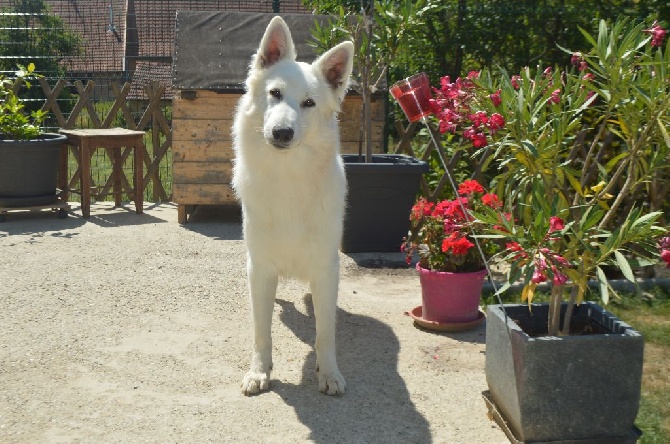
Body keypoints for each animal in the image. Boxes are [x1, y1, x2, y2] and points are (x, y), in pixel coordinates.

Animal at [232, 16, 356, 396]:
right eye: (275, 94)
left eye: (309, 103)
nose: (282, 133)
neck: (288, 179)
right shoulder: (260, 269)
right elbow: (261, 332)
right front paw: (260, 372)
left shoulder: (326, 270)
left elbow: (325, 333)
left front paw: (328, 373)